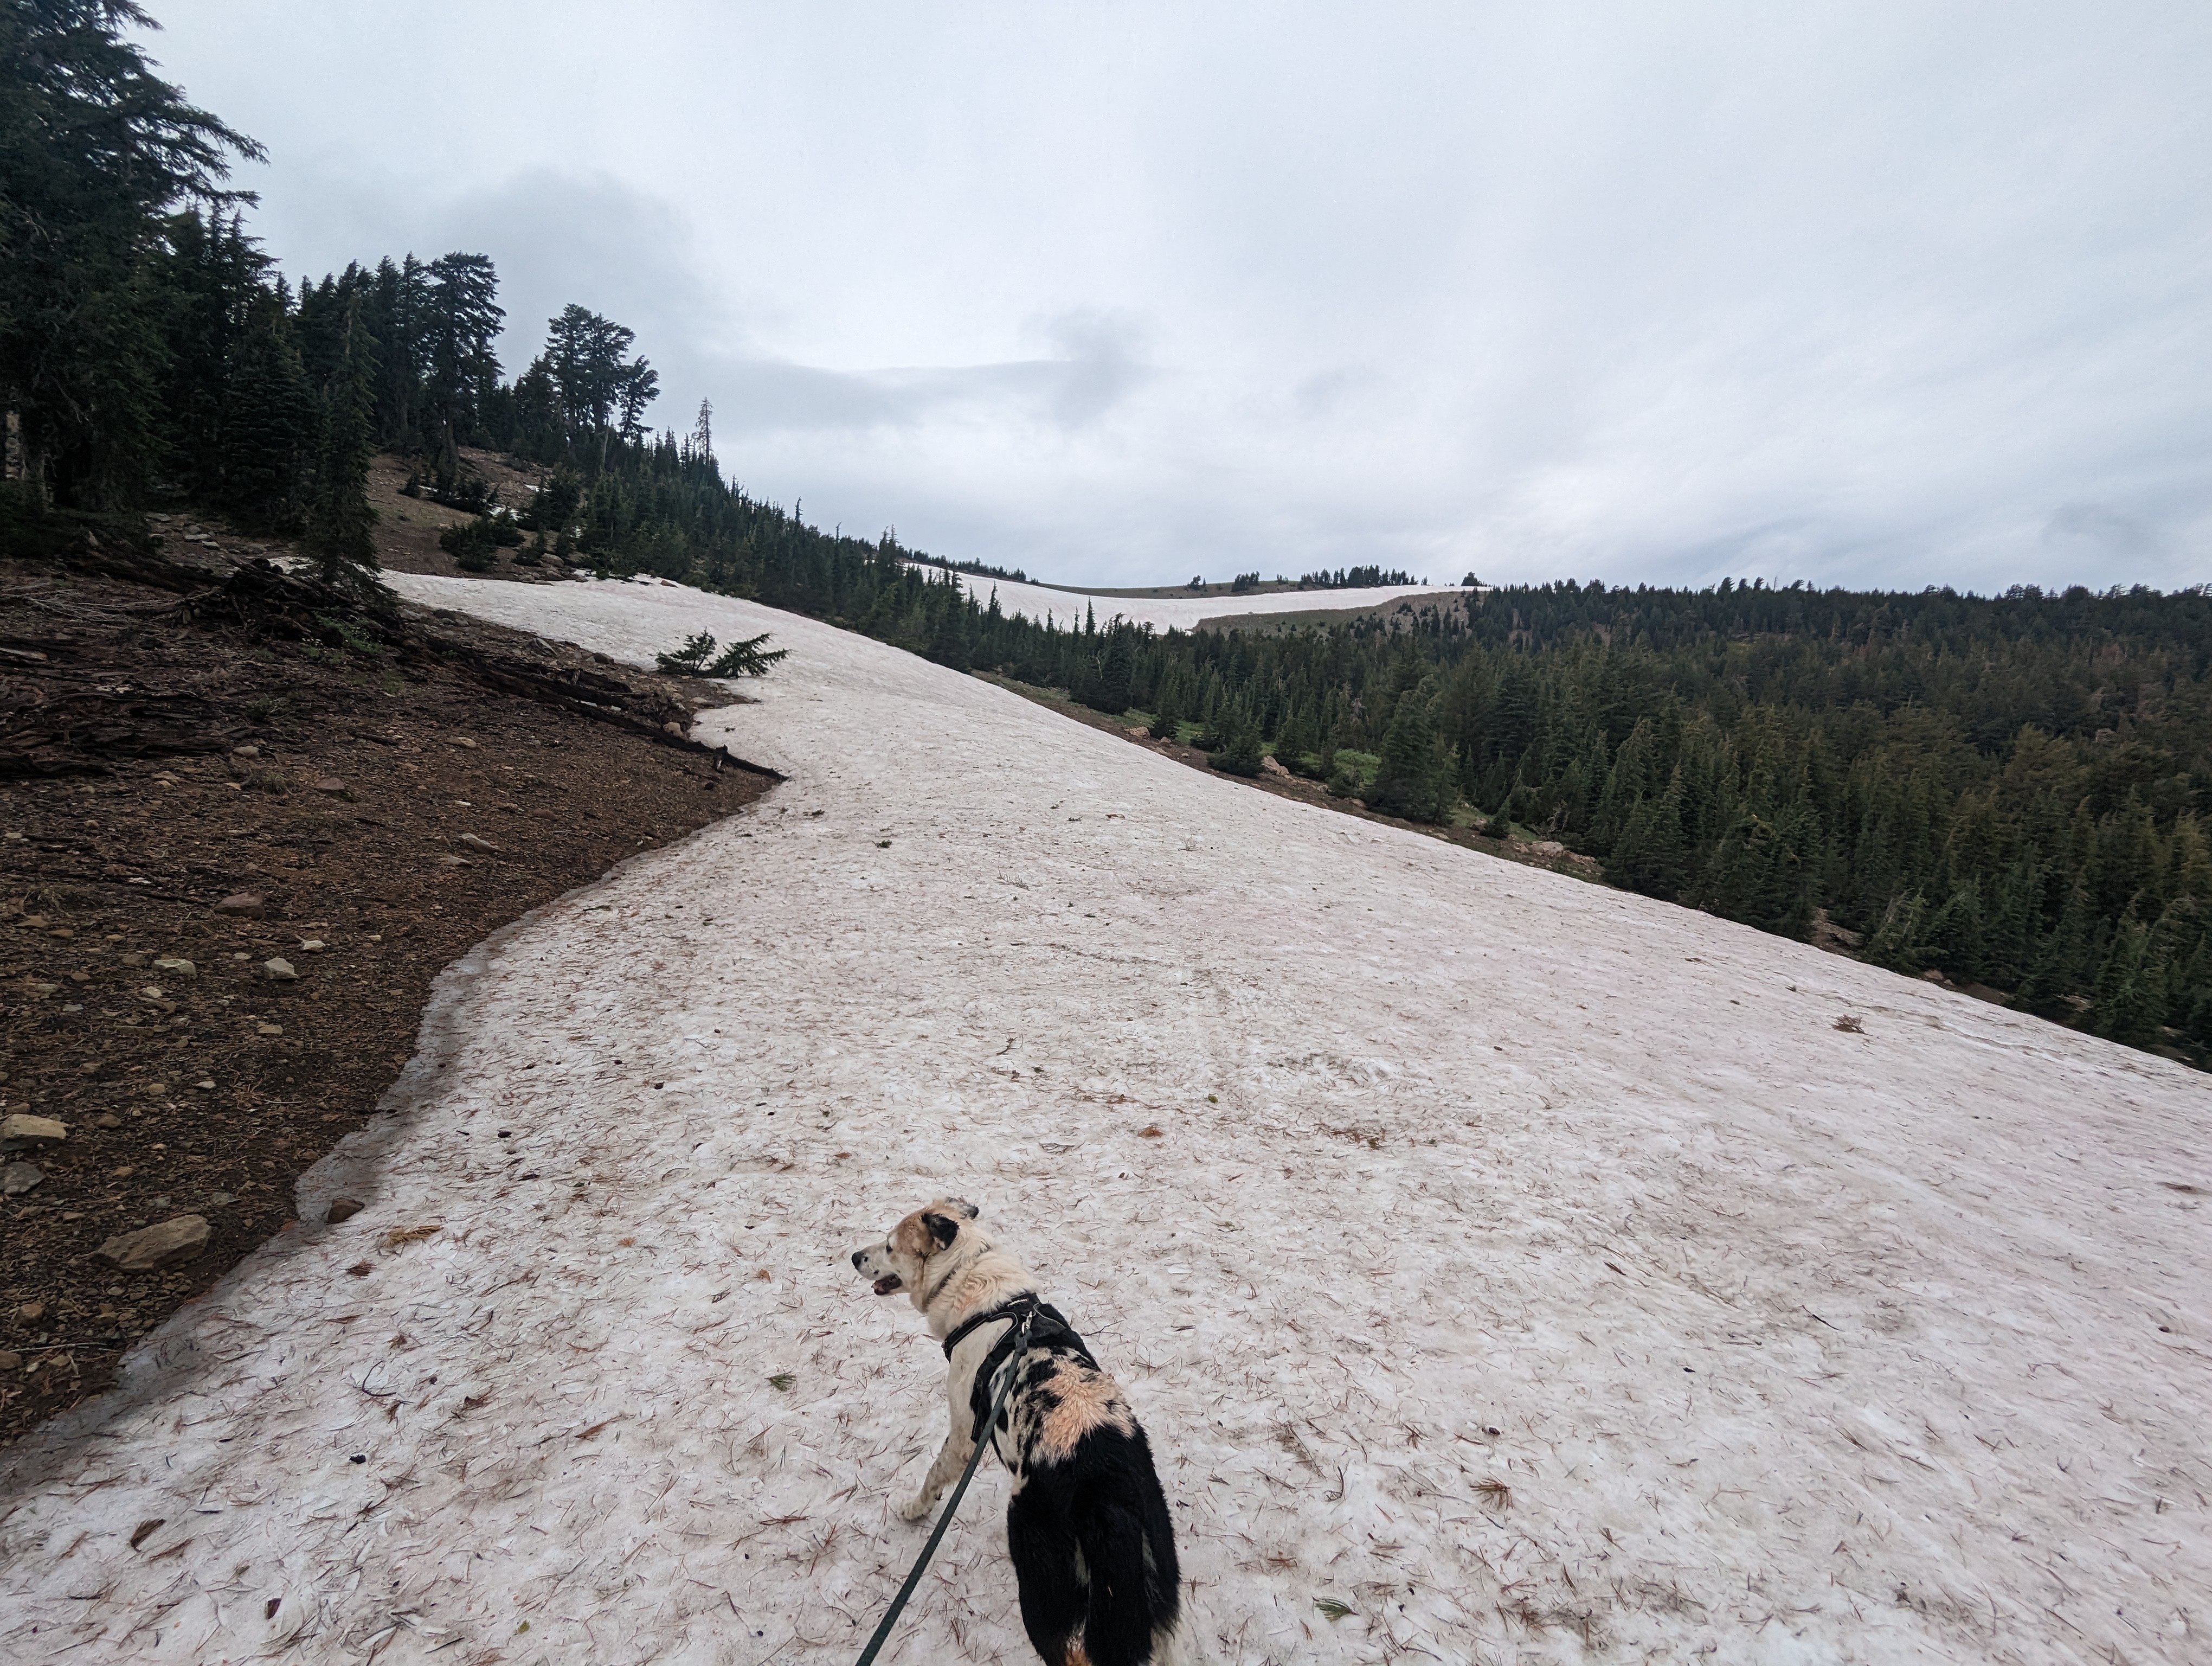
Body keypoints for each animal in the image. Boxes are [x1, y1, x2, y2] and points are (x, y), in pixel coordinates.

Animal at [849, 1195, 1194, 1663]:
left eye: (888, 1246)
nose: (854, 1257)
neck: (972, 1284)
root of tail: (1109, 1495)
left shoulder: (964, 1433)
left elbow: (934, 1475)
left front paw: (915, 1508)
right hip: (1156, 1613)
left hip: (1043, 1592)